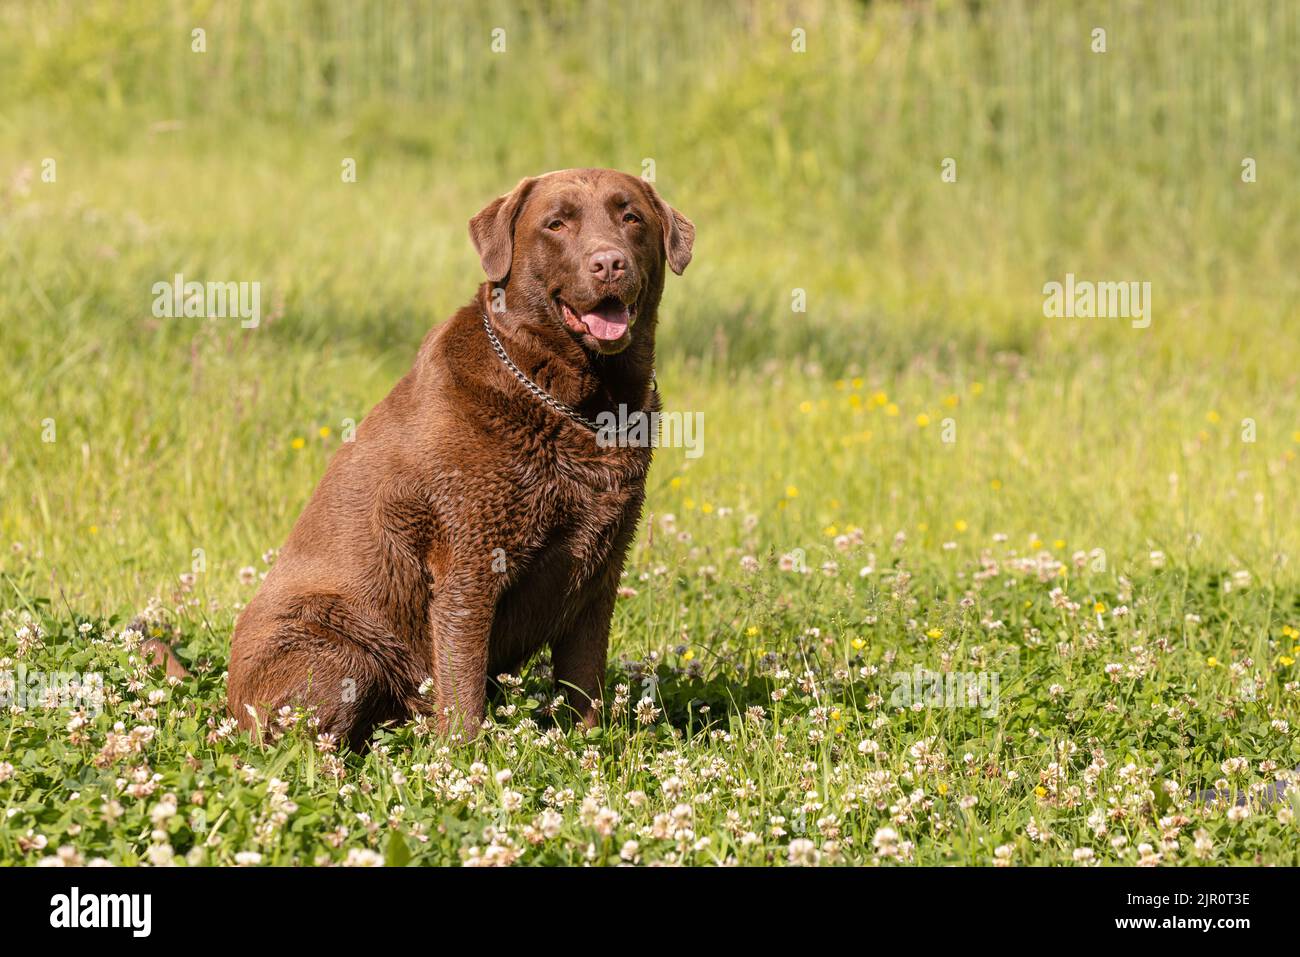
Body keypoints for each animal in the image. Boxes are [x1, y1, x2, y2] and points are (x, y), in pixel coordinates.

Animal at [226, 167, 691, 748]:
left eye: (630, 217)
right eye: (556, 224)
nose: (609, 263)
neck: (576, 402)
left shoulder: (603, 568)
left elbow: (584, 678)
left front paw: (587, 744)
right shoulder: (470, 559)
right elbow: (463, 679)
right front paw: (466, 753)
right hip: (339, 649)